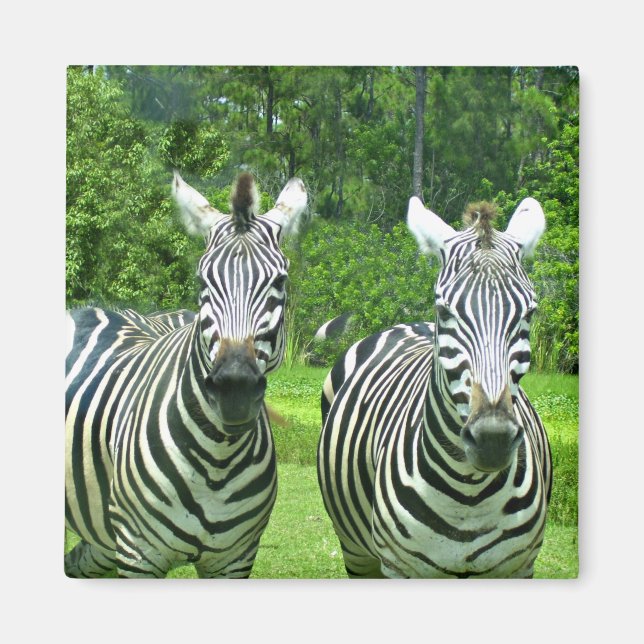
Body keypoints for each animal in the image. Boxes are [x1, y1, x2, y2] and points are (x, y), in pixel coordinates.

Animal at [65, 171, 307, 578]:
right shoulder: (138, 554)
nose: (235, 390)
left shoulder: (234, 559)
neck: (218, 459)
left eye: (280, 282)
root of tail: (92, 309)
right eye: (202, 281)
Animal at [317, 196, 551, 578]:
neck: (469, 496)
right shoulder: (399, 567)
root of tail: (411, 323)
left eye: (529, 313)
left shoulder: (520, 567)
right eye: (445, 311)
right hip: (356, 550)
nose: (493, 439)